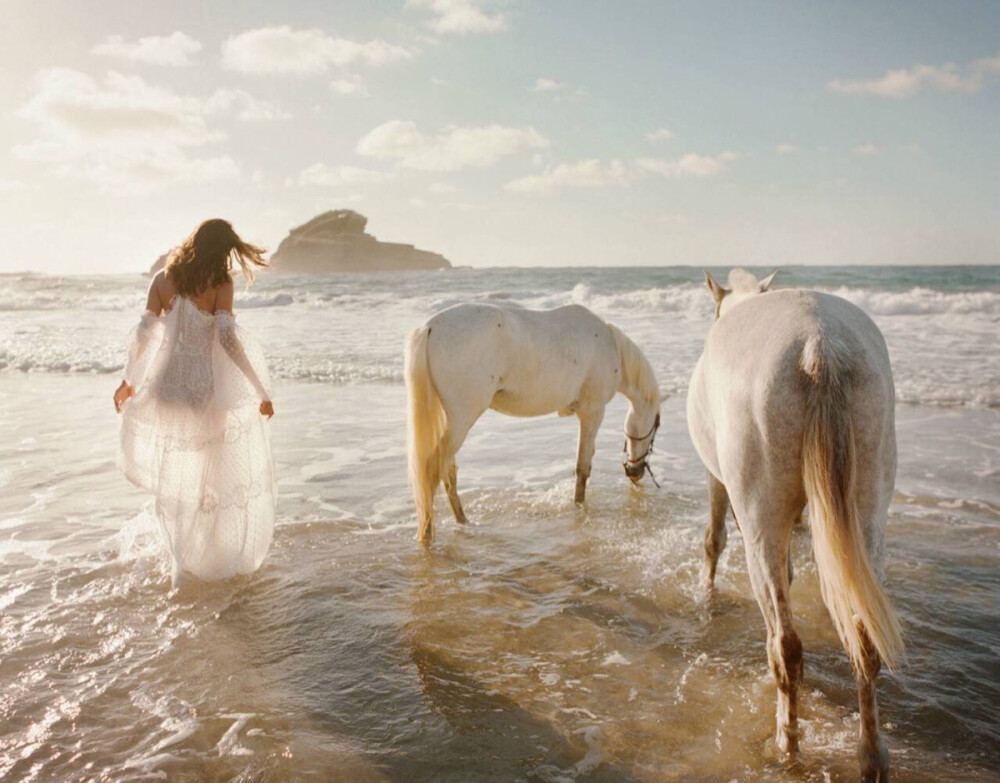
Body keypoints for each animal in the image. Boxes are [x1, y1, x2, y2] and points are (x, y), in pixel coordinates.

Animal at [402, 304, 660, 544]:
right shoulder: (592, 413)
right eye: (656, 425)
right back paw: (428, 533)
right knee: (431, 472)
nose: (634, 472)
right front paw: (579, 507)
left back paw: (462, 522)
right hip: (461, 422)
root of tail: (430, 327)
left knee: (447, 474)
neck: (611, 346)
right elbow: (582, 469)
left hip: (452, 424)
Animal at [688, 272, 908, 783]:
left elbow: (714, 540)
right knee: (864, 637)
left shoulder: (717, 480)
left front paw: (707, 591)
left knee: (785, 645)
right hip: (868, 506)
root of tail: (820, 344)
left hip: (761, 514)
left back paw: (787, 745)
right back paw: (871, 756)